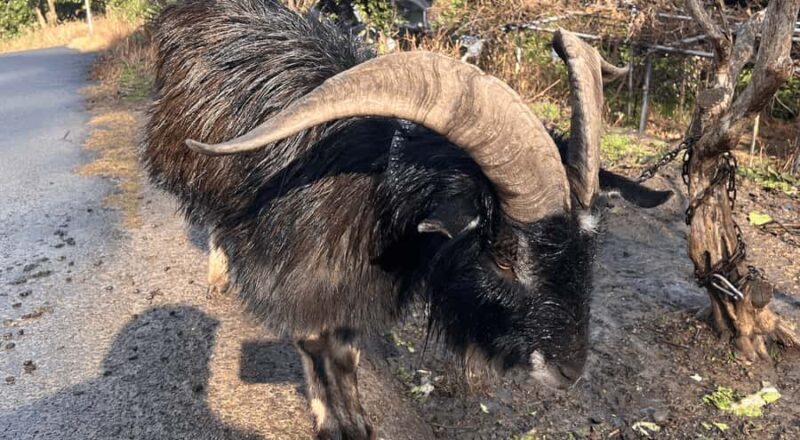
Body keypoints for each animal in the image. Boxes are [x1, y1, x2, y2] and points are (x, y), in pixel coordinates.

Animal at [143, 1, 671, 438]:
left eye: (590, 246)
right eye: (503, 257)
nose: (570, 372)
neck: (373, 187)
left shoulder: (356, 285)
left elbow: (347, 352)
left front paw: (355, 420)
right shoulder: (298, 278)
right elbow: (315, 346)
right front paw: (333, 423)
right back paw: (218, 274)